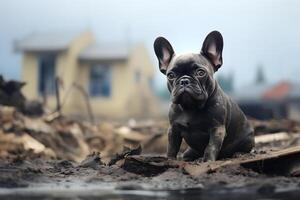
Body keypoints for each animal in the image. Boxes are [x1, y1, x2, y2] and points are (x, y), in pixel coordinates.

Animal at [154, 31, 254, 162]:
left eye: (200, 73)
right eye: (171, 75)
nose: (184, 81)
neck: (191, 107)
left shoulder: (217, 129)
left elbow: (211, 147)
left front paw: (207, 161)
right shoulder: (173, 129)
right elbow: (171, 147)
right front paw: (170, 160)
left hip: (247, 139)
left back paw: (239, 154)